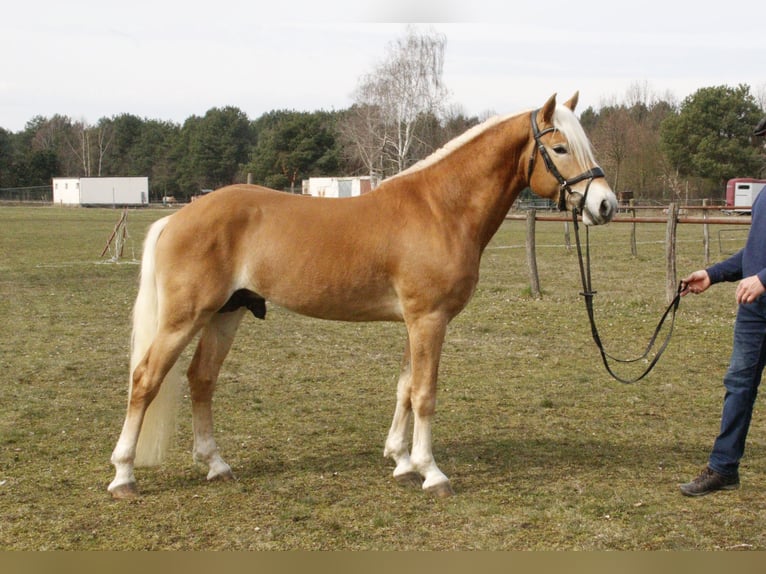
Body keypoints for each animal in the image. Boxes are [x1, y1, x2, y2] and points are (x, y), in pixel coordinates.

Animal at [108, 93, 620, 500]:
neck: (442, 207)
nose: (606, 205)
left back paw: (216, 465)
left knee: (201, 379)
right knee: (146, 379)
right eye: (559, 147)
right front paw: (431, 473)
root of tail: (176, 218)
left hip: (225, 314)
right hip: (185, 317)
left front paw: (401, 462)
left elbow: (404, 388)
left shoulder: (416, 321)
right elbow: (425, 394)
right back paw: (124, 476)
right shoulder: (429, 319)